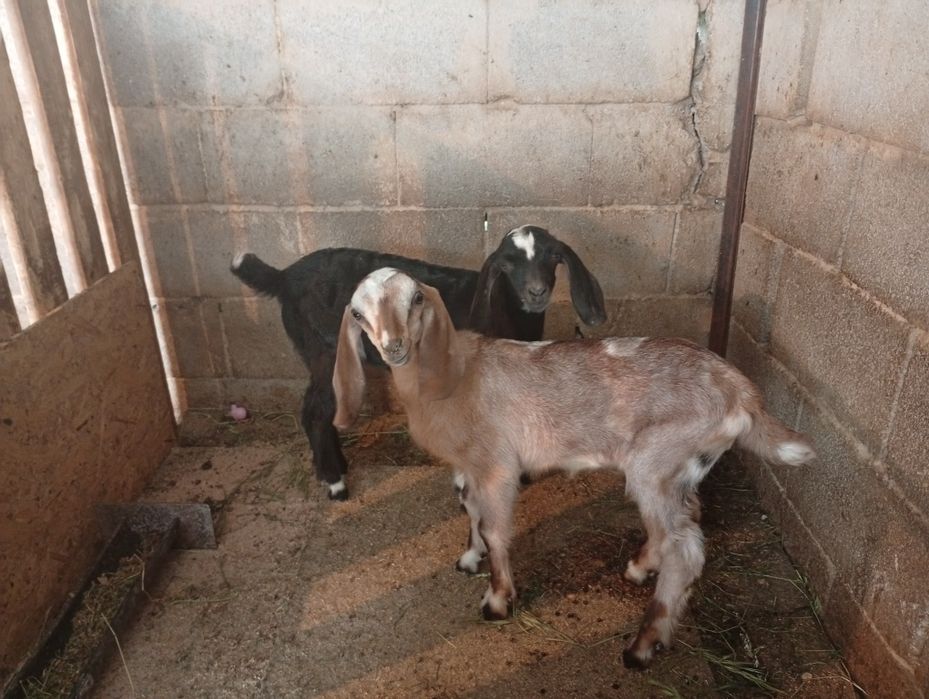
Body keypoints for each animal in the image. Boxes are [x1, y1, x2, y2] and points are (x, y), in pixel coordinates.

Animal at [231, 226, 606, 500]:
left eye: (552, 256)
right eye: (507, 263)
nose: (536, 292)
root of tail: (283, 277)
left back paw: (338, 466)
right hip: (324, 350)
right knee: (314, 411)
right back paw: (335, 482)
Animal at [332, 269, 815, 669]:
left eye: (416, 299)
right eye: (357, 313)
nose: (394, 347)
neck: (454, 376)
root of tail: (742, 392)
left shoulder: (496, 464)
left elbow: (494, 527)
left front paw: (497, 600)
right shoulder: (467, 464)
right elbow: (468, 507)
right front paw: (470, 557)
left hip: (657, 459)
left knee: (686, 549)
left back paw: (642, 645)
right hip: (681, 467)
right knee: (684, 520)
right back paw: (639, 568)